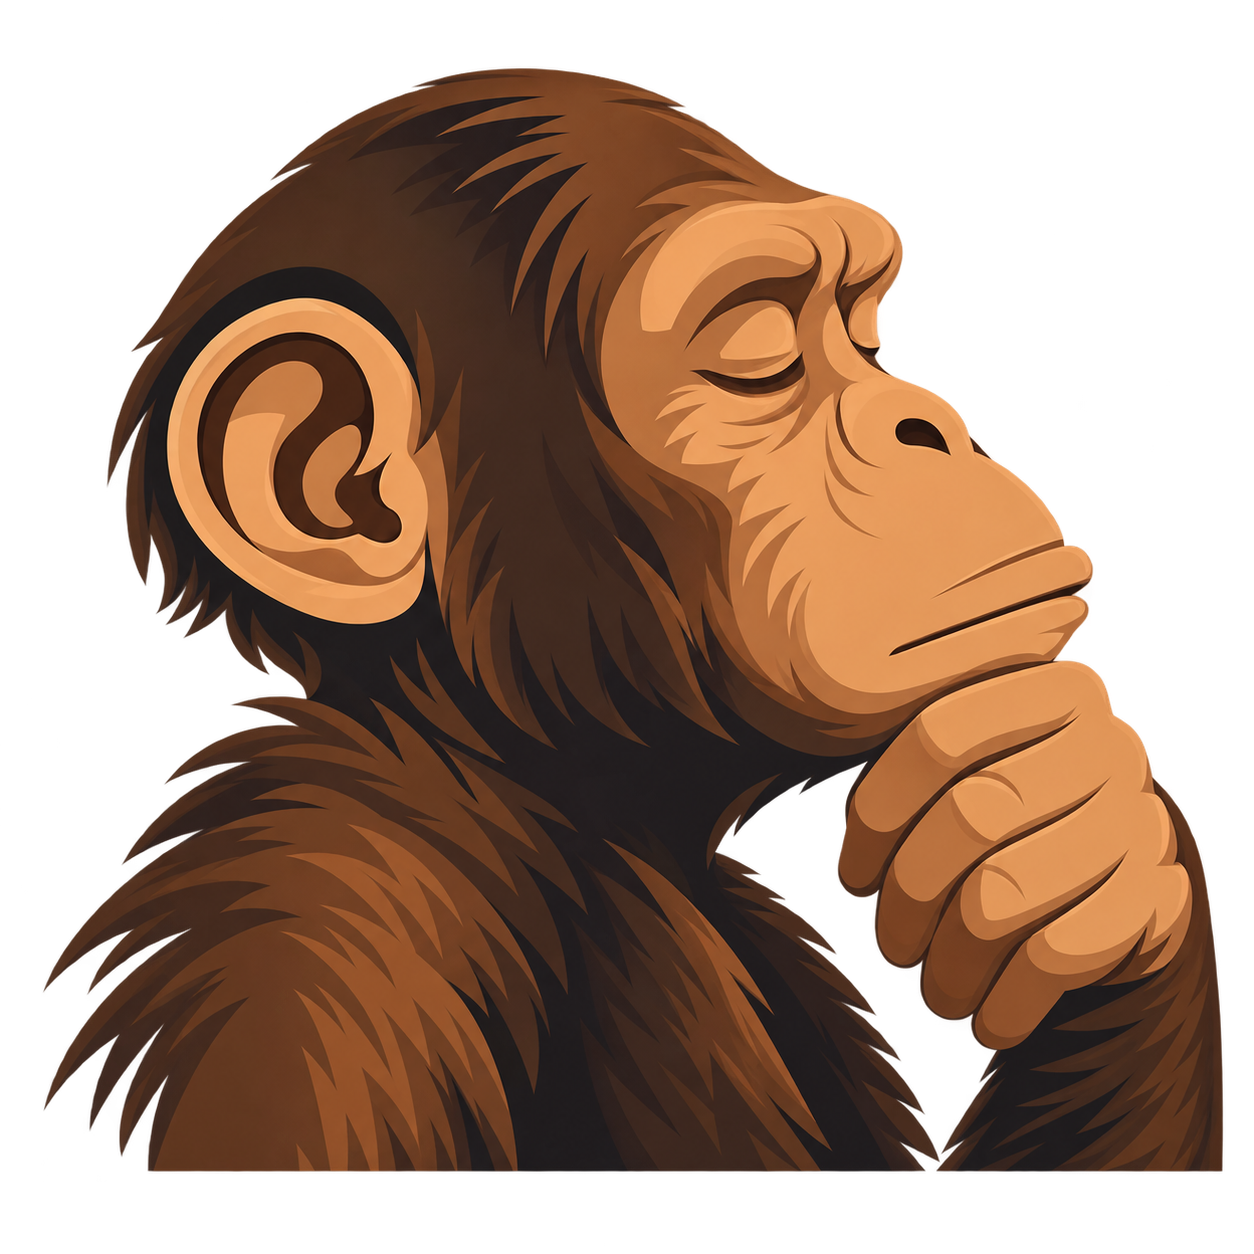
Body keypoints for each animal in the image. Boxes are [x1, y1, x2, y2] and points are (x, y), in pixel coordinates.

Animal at [45, 67, 1221, 1171]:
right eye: (756, 349)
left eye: (868, 333)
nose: (929, 422)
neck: (570, 785)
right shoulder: (325, 950)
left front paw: (1081, 819)